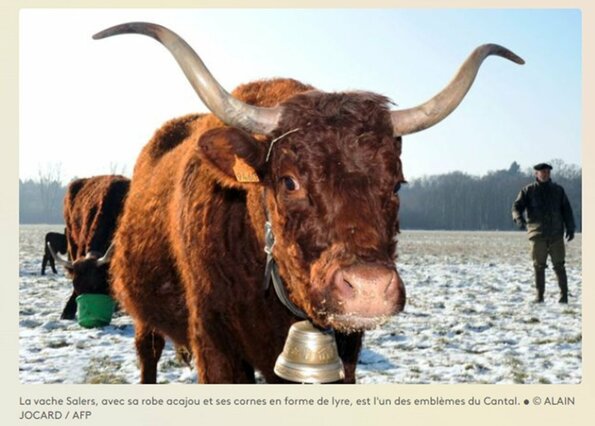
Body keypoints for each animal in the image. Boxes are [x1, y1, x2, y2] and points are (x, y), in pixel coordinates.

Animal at [94, 22, 528, 382]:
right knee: (147, 353)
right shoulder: (216, 347)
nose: (369, 289)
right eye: (289, 182)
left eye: (397, 185)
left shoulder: (342, 354)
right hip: (144, 318)